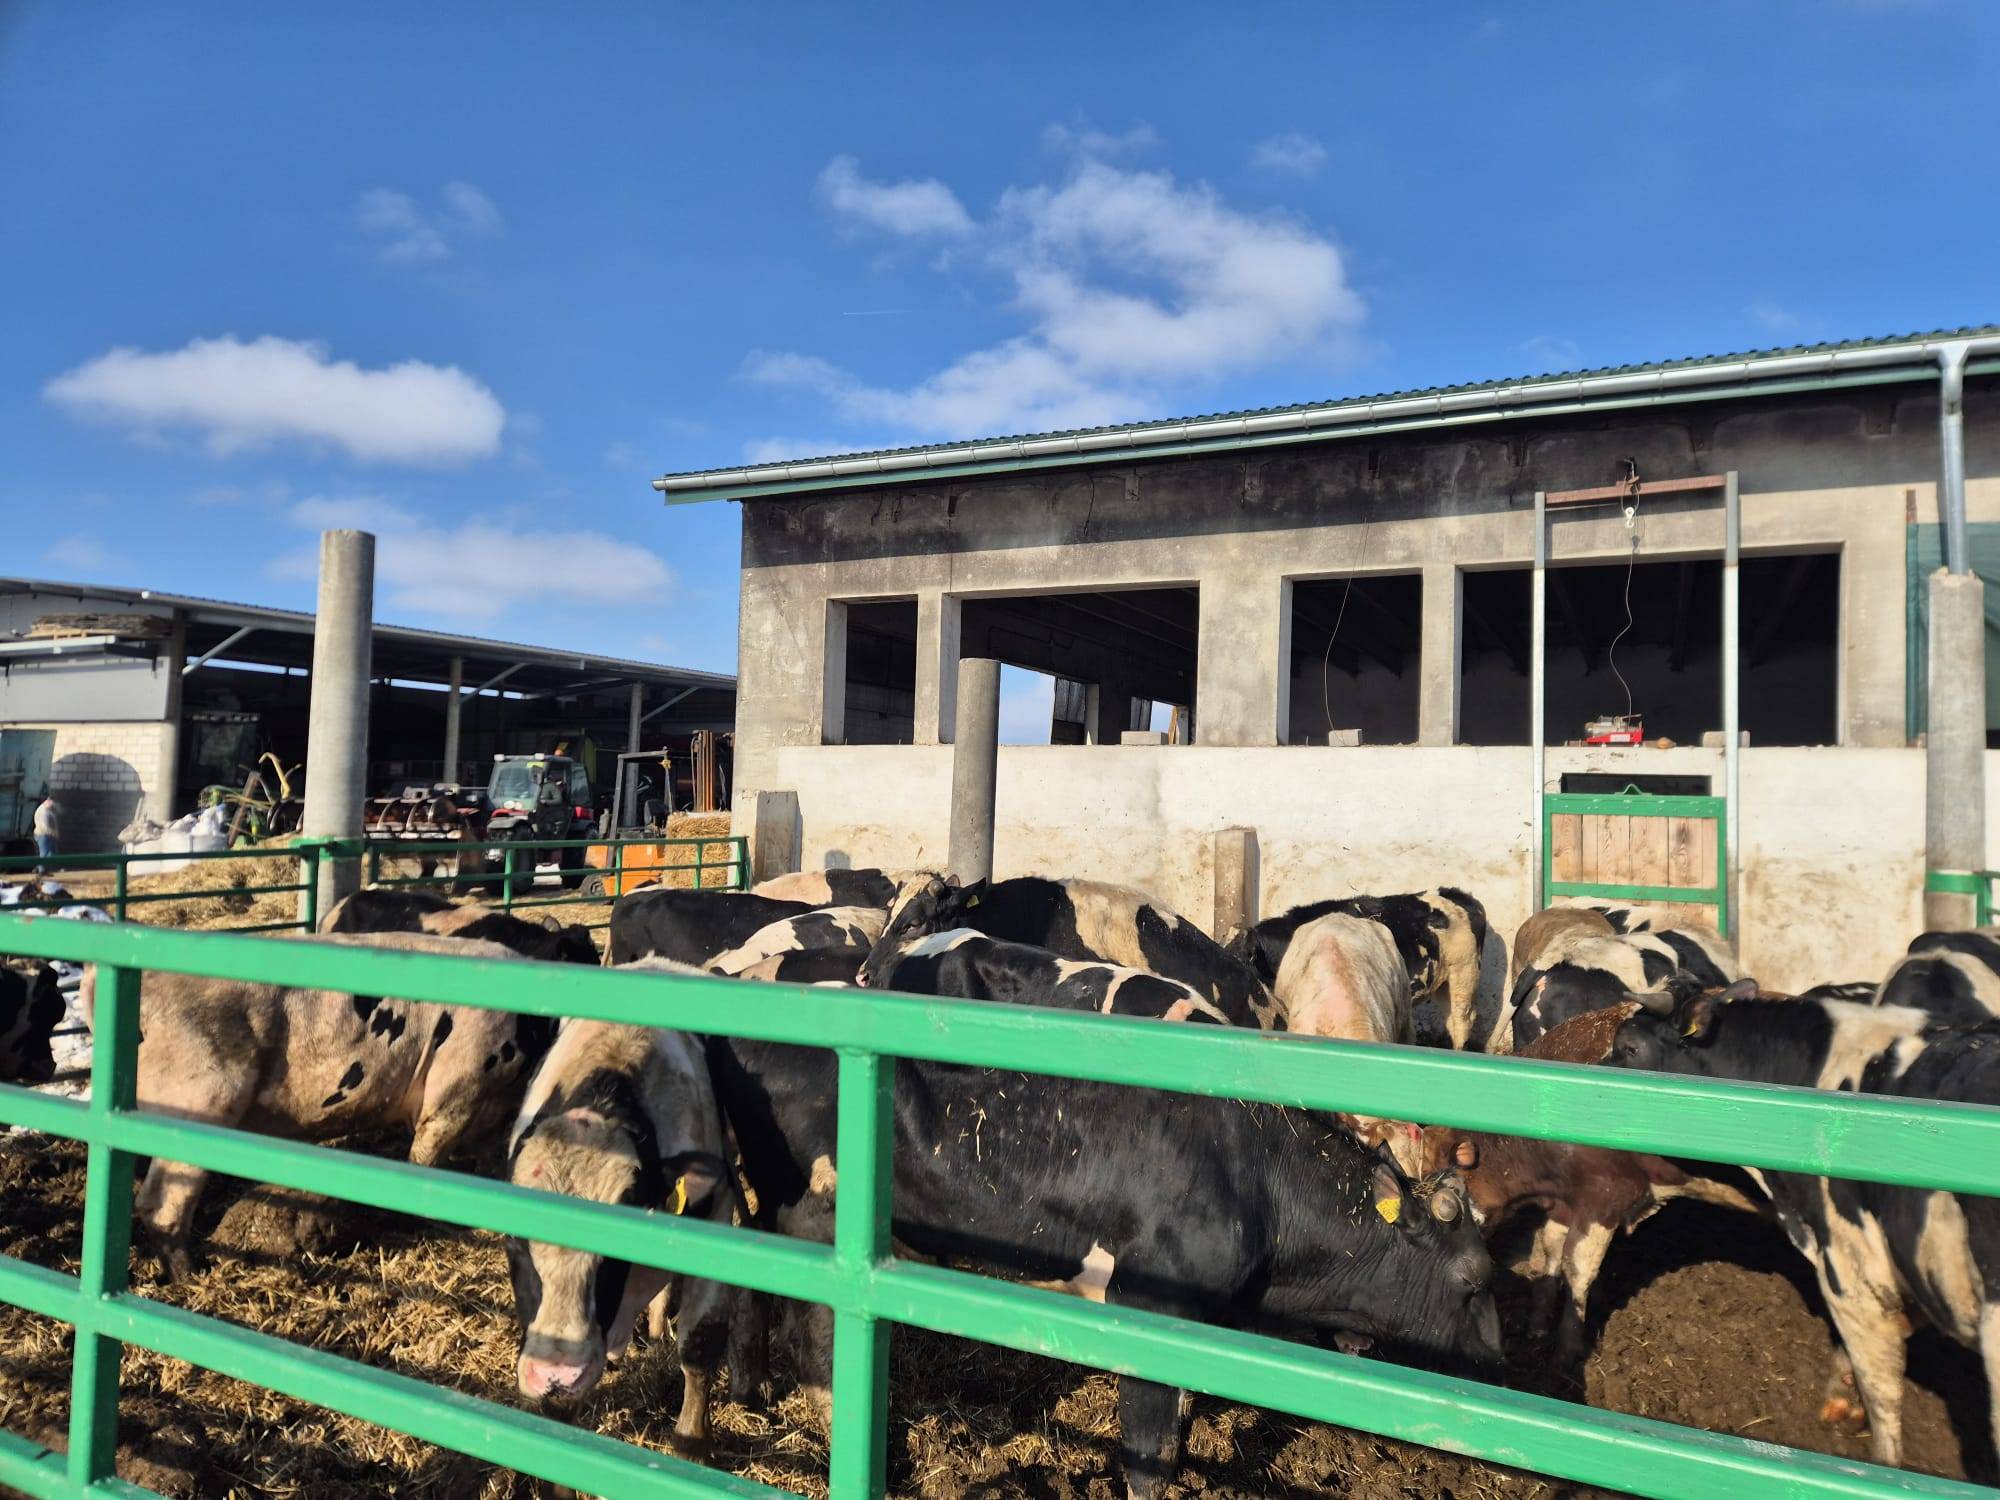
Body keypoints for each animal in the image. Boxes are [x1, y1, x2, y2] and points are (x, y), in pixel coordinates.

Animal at [703, 1031, 1502, 1499]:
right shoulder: (1152, 1308)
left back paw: (754, 1391)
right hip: (819, 1221)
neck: (1256, 1175)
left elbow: (1176, 1421)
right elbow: (1150, 1446)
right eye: (1472, 1281)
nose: (1504, 1371)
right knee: (816, 1336)